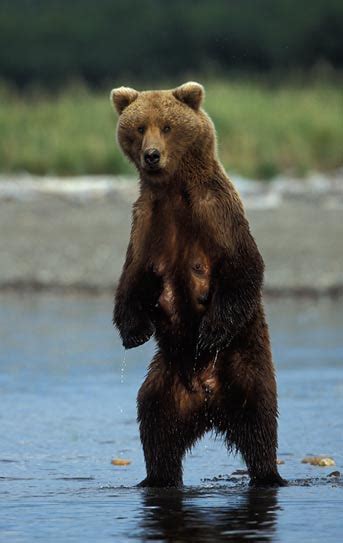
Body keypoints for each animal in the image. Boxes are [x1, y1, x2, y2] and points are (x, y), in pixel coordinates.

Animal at [111, 81, 288, 488]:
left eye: (167, 126)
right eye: (140, 127)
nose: (152, 156)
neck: (174, 189)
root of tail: (207, 401)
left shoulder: (216, 213)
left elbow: (243, 267)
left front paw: (209, 333)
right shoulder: (146, 223)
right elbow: (132, 279)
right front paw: (134, 332)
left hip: (246, 370)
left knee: (260, 427)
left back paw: (269, 474)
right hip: (164, 384)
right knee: (156, 430)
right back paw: (157, 478)